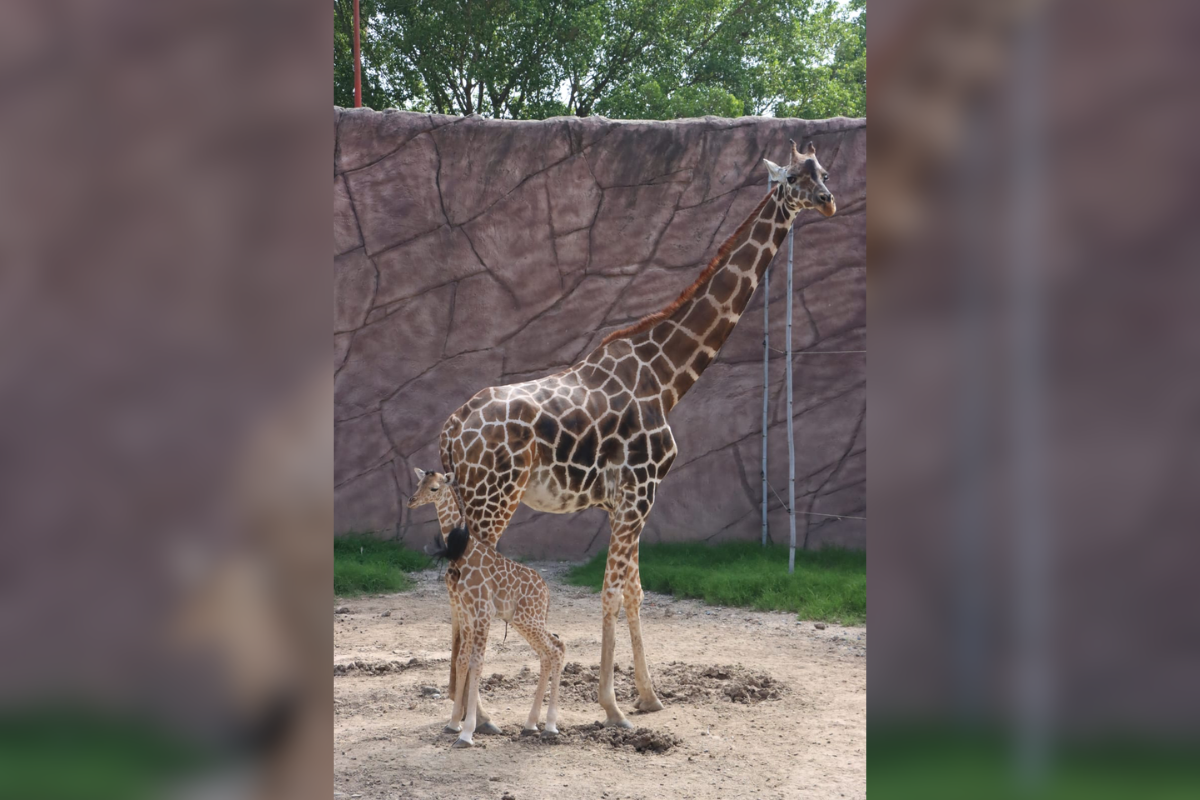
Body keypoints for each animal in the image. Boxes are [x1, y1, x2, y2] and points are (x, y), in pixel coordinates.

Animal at [410, 465, 564, 748]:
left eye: (434, 488)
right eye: (418, 484)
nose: (411, 501)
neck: (464, 551)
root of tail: (546, 593)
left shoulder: (483, 613)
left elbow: (477, 663)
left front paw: (468, 732)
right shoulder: (466, 613)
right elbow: (462, 660)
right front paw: (453, 724)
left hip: (528, 619)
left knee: (557, 649)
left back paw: (550, 726)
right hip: (522, 621)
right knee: (549, 651)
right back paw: (530, 724)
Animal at [439, 139, 835, 734]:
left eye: (823, 172)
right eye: (792, 178)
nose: (829, 201)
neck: (666, 378)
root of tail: (453, 426)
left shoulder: (627, 499)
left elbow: (634, 592)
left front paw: (649, 697)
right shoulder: (638, 492)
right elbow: (610, 592)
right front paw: (613, 707)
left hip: (471, 499)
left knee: (460, 585)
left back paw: (465, 713)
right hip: (493, 497)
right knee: (467, 585)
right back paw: (478, 717)